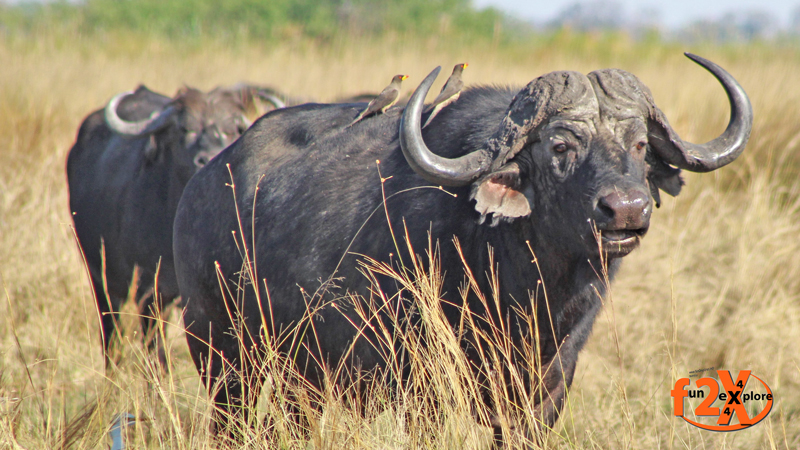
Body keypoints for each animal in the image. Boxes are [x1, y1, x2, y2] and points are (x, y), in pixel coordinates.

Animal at [66, 83, 284, 366]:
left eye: (231, 129)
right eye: (185, 128)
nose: (207, 157)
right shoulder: (150, 294)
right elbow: (156, 353)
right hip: (100, 279)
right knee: (111, 336)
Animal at [172, 53, 752, 442]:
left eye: (639, 144)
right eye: (560, 146)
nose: (627, 210)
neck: (524, 288)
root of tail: (202, 185)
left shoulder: (547, 391)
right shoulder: (423, 390)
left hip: (297, 378)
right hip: (221, 356)